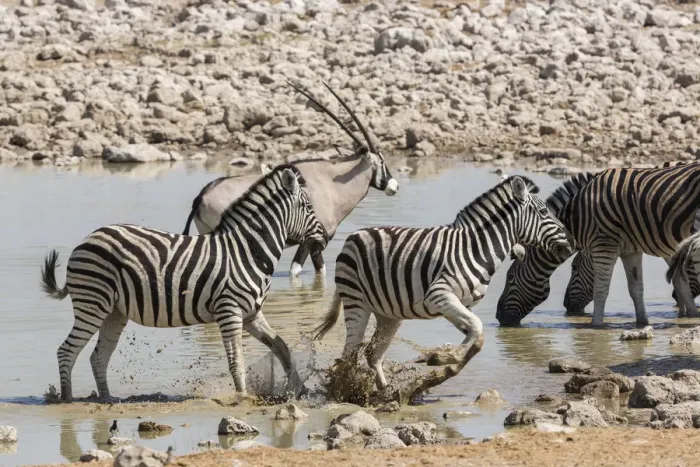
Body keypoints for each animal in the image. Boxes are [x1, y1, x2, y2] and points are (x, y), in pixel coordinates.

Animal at [40, 165, 328, 402]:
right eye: (309, 208)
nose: (325, 238)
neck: (247, 251)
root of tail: (87, 239)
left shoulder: (251, 313)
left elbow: (282, 347)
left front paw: (299, 388)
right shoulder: (230, 311)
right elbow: (237, 359)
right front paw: (243, 397)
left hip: (114, 311)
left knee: (98, 356)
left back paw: (106, 398)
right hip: (93, 303)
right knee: (66, 351)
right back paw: (66, 400)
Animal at [312, 175, 571, 393]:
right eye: (544, 211)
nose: (568, 248)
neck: (477, 249)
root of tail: (353, 237)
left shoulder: (458, 304)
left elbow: (477, 336)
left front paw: (447, 366)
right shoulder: (439, 295)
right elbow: (477, 328)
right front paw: (441, 359)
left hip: (389, 314)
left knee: (372, 353)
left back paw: (384, 392)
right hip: (356, 301)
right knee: (349, 351)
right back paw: (342, 391)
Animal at [497, 162, 700, 327]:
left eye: (510, 278)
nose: (498, 317)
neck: (578, 217)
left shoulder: (604, 245)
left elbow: (600, 290)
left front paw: (596, 326)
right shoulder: (631, 250)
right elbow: (636, 289)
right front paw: (642, 323)